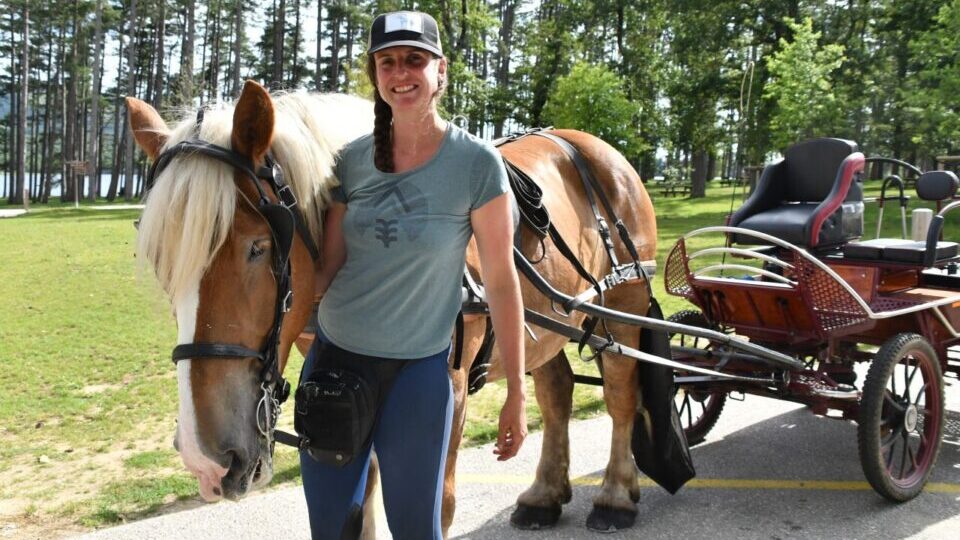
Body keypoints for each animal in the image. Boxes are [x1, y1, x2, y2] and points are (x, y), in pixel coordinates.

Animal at [128, 80, 657, 535]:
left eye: (258, 247)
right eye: (159, 261)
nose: (204, 456)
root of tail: (591, 145)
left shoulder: (451, 391)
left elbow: (434, 505)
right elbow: (359, 505)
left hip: (623, 304)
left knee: (621, 394)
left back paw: (614, 495)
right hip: (548, 323)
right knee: (555, 392)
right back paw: (544, 496)